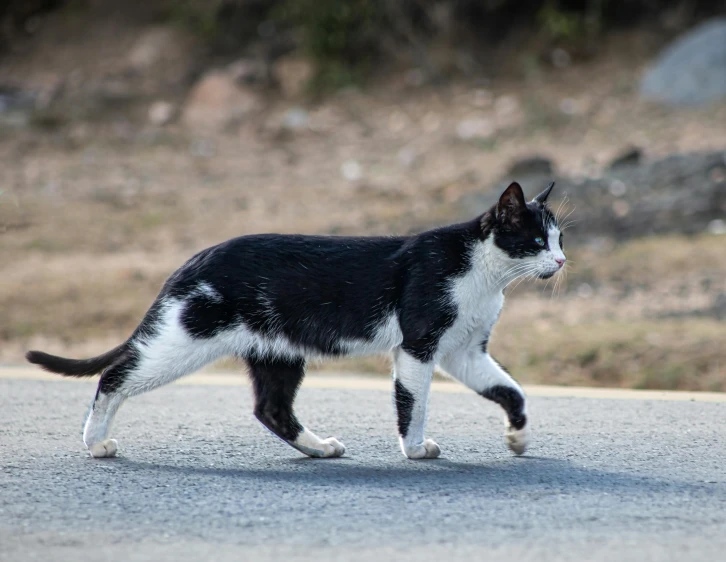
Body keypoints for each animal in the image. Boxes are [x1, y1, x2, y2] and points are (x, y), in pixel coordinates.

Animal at [27, 182, 568, 458]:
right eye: (536, 241)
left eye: (560, 239)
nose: (562, 262)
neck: (482, 275)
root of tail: (193, 260)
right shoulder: (419, 345)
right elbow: (413, 404)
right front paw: (414, 449)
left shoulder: (464, 350)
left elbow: (511, 390)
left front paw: (518, 437)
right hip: (183, 339)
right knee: (115, 375)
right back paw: (96, 442)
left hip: (278, 353)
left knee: (271, 408)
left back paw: (318, 447)